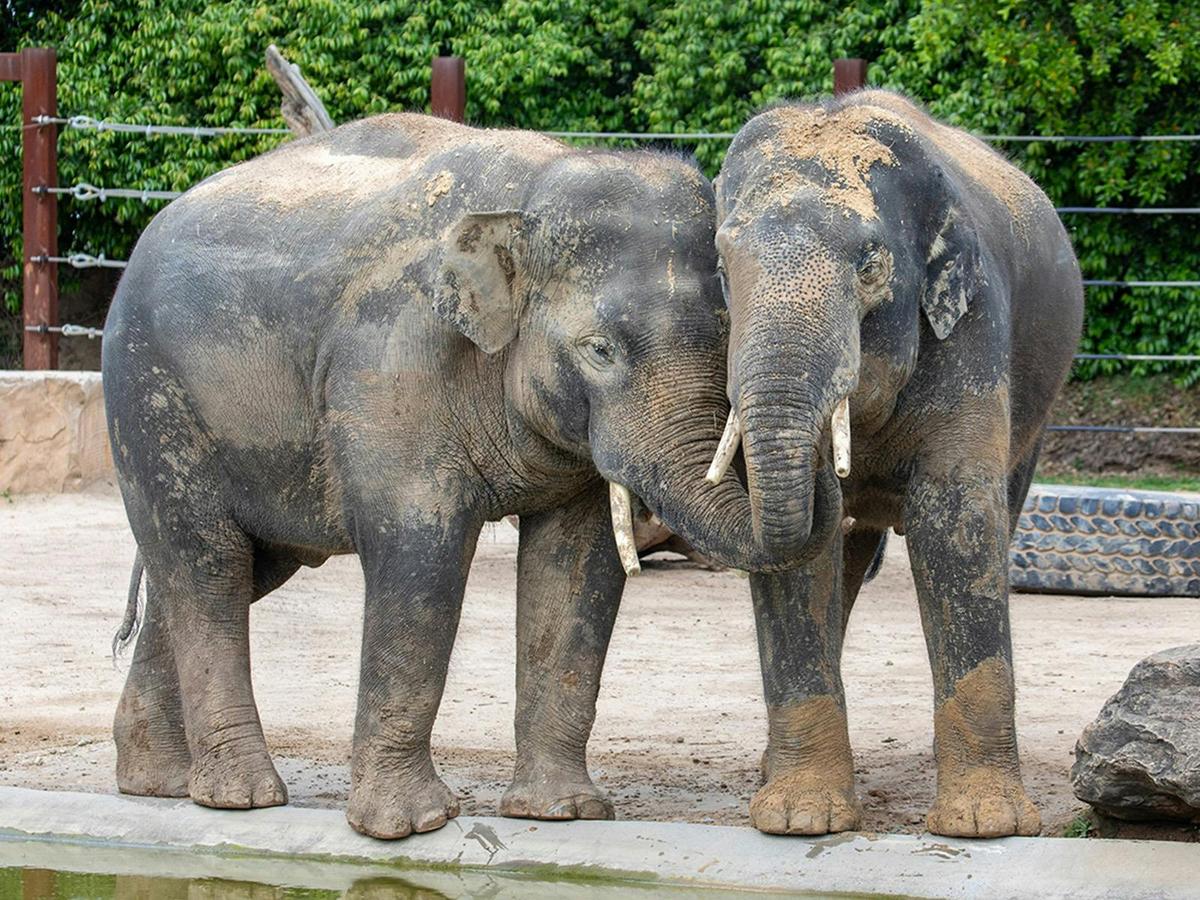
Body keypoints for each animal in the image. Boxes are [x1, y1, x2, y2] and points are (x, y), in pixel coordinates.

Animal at [101, 112, 800, 839]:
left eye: (726, 336)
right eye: (599, 350)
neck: (536, 189)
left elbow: (577, 565)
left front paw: (561, 813)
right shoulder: (392, 361)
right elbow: (421, 553)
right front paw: (408, 826)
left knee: (231, 572)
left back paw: (160, 783)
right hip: (152, 399)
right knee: (207, 564)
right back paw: (241, 797)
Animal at [708, 90, 1084, 837]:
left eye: (870, 265)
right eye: (723, 269)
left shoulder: (972, 326)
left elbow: (956, 523)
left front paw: (986, 825)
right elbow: (804, 558)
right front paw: (798, 819)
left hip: (1039, 407)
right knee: (848, 555)